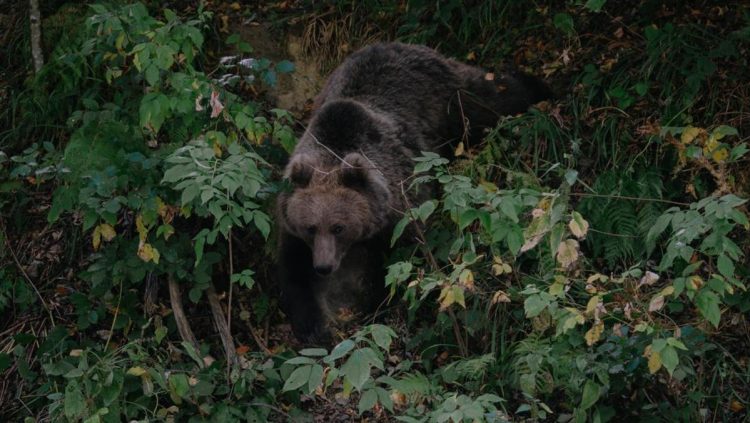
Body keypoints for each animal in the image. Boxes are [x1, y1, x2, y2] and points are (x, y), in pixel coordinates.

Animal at [276, 42, 551, 344]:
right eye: (311, 227)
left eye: (339, 227)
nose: (324, 266)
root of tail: (403, 44)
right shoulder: (293, 228)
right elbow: (294, 275)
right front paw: (314, 329)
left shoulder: (401, 210)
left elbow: (398, 265)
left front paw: (377, 309)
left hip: (449, 99)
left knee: (488, 99)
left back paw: (537, 86)